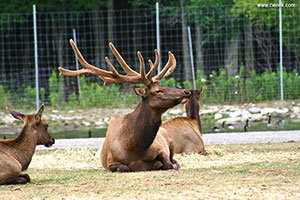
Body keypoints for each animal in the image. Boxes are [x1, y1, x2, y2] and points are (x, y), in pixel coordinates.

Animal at [58, 39, 190, 172]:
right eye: (158, 91)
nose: (186, 92)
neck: (134, 147)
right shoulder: (110, 162)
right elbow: (125, 168)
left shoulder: (161, 149)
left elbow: (169, 164)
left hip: (171, 142)